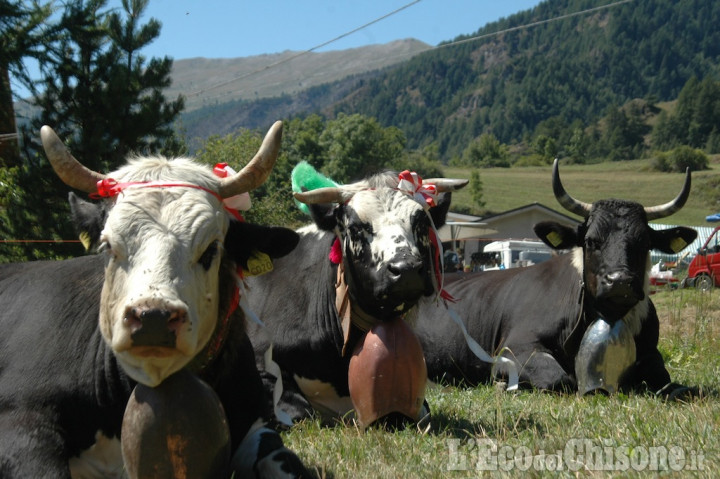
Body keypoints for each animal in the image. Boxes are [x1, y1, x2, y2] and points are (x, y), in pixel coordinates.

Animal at [0, 122, 308, 478]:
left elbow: (286, 462)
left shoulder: (255, 424)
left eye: (211, 249)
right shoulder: (19, 421)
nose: (153, 318)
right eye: (107, 246)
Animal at [416, 161, 696, 398]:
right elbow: (559, 379)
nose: (619, 281)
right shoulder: (516, 347)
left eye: (645, 243)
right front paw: (502, 383)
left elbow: (666, 379)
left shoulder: (651, 351)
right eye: (590, 241)